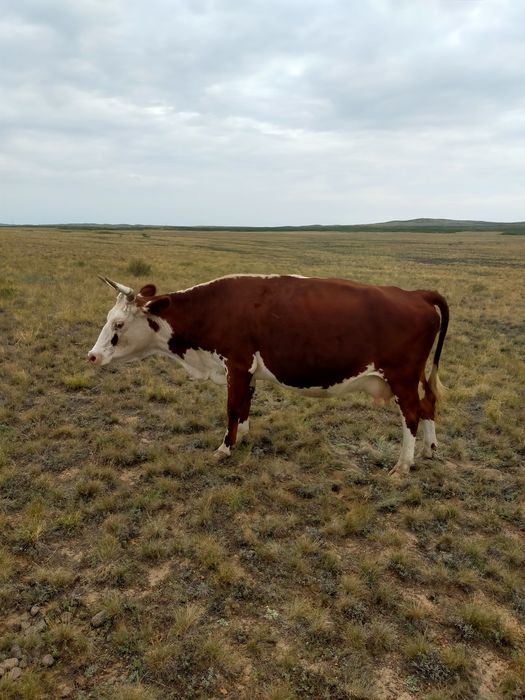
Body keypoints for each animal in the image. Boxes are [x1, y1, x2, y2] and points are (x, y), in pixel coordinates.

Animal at [88, 274, 449, 476]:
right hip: (415, 377)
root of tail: (415, 294)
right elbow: (245, 406)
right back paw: (429, 449)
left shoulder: (235, 365)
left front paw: (224, 449)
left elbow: (233, 408)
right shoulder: (247, 371)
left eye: (119, 323)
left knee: (412, 414)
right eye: (107, 317)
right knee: (428, 405)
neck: (214, 309)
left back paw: (403, 465)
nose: (92, 355)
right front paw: (244, 438)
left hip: (402, 377)